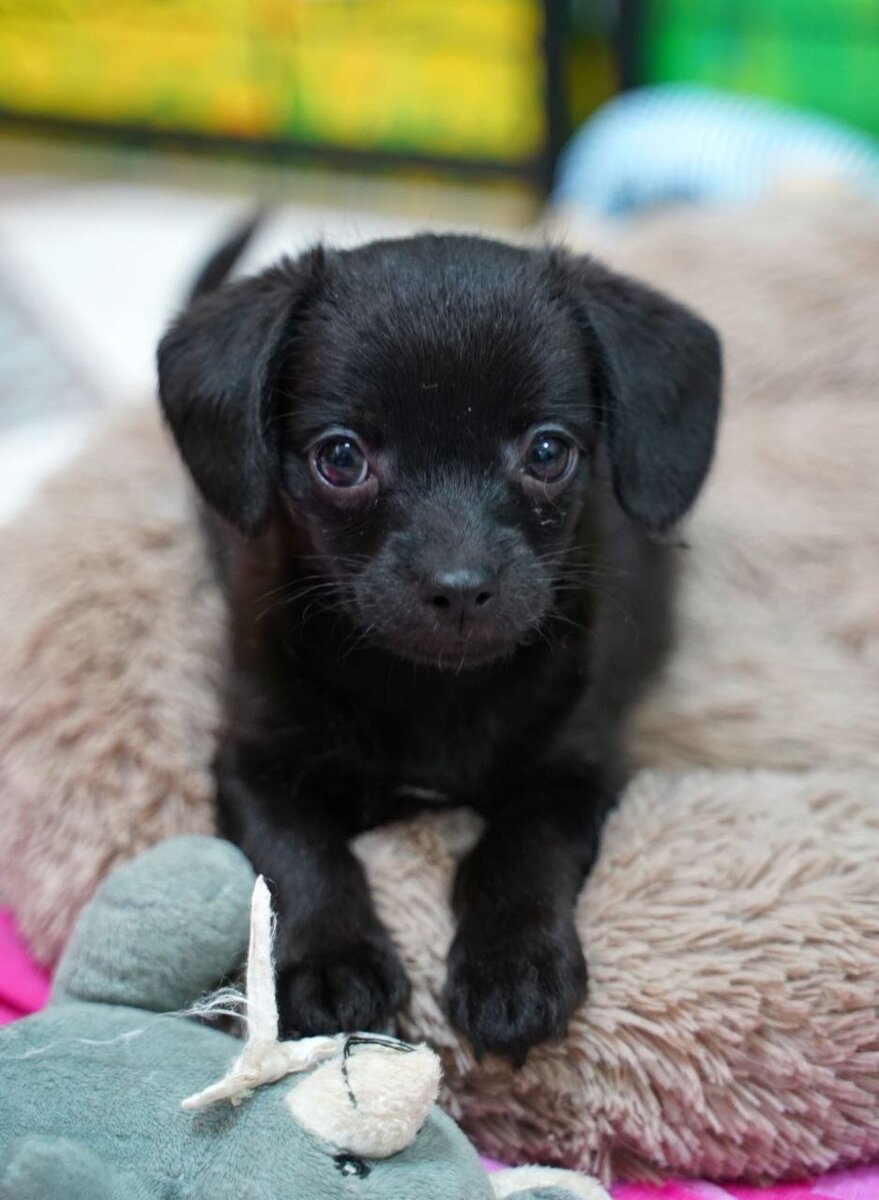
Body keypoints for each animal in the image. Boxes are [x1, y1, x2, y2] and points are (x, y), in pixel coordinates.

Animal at [159, 229, 720, 1065]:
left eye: (547, 452)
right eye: (341, 459)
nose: (459, 587)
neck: (431, 687)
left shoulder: (575, 770)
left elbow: (519, 848)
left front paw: (513, 968)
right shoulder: (253, 760)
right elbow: (297, 851)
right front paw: (331, 962)